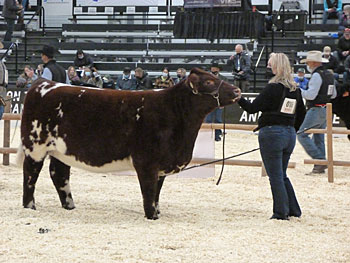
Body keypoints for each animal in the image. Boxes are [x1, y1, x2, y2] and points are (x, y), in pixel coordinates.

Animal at [16, 68, 241, 221]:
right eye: (209, 81)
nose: (238, 90)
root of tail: (44, 83)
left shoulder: (161, 164)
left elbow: (157, 192)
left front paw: (157, 212)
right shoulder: (146, 162)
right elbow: (148, 191)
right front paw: (152, 216)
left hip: (61, 150)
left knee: (59, 174)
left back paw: (69, 206)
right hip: (36, 146)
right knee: (31, 174)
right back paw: (29, 206)